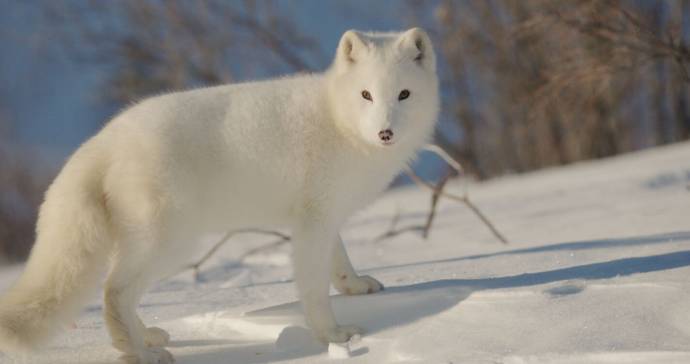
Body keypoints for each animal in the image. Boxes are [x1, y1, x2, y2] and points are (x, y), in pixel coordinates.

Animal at [0, 27, 438, 362]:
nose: (386, 132)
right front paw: (333, 336)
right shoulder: (313, 222)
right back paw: (139, 353)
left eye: (403, 95)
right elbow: (314, 288)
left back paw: (147, 337)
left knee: (118, 290)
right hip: (170, 244)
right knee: (115, 292)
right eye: (366, 95)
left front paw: (356, 286)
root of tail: (104, 138)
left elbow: (339, 261)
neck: (338, 121)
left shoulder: (325, 217)